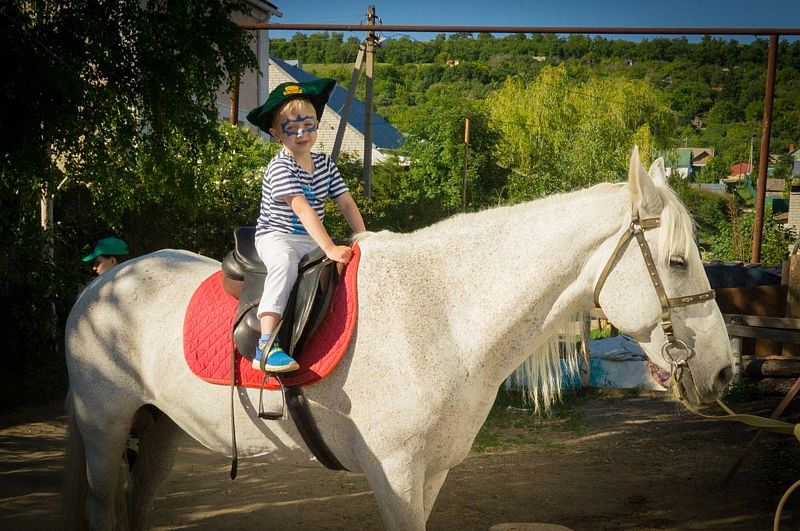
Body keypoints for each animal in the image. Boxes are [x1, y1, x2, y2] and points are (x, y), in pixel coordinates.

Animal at [62, 147, 735, 530]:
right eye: (678, 262)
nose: (726, 371)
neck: (445, 313)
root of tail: (100, 287)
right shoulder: (396, 475)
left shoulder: (430, 475)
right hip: (105, 425)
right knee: (101, 505)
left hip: (160, 429)